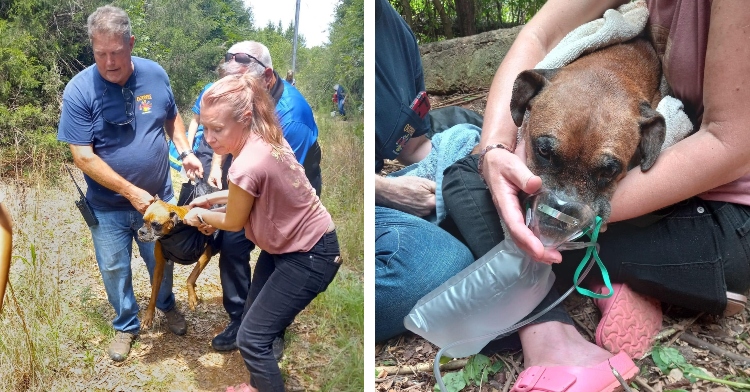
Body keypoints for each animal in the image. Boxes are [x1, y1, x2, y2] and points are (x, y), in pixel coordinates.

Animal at [137, 198, 216, 330]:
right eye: (143, 220)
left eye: (156, 224)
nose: (141, 231)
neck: (174, 233)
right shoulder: (159, 267)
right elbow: (154, 294)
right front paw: (148, 316)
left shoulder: (206, 254)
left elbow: (190, 277)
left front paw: (191, 297)